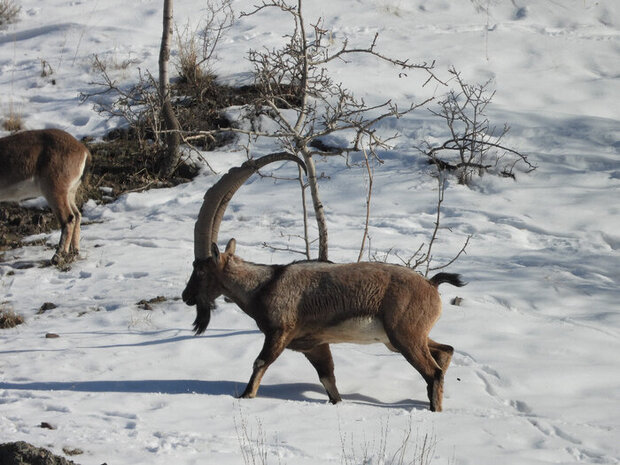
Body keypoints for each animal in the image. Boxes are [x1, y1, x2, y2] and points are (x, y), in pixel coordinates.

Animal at [0, 129, 91, 262]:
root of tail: (83, 150)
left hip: (54, 191)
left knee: (68, 219)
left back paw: (58, 256)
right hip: (69, 193)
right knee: (77, 215)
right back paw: (74, 252)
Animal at [182, 155, 462, 410]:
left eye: (200, 270)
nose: (186, 297)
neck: (263, 285)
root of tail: (431, 285)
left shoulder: (279, 333)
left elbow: (259, 364)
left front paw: (244, 397)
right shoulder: (314, 345)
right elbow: (328, 380)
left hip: (404, 335)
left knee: (433, 372)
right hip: (399, 339)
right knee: (445, 351)